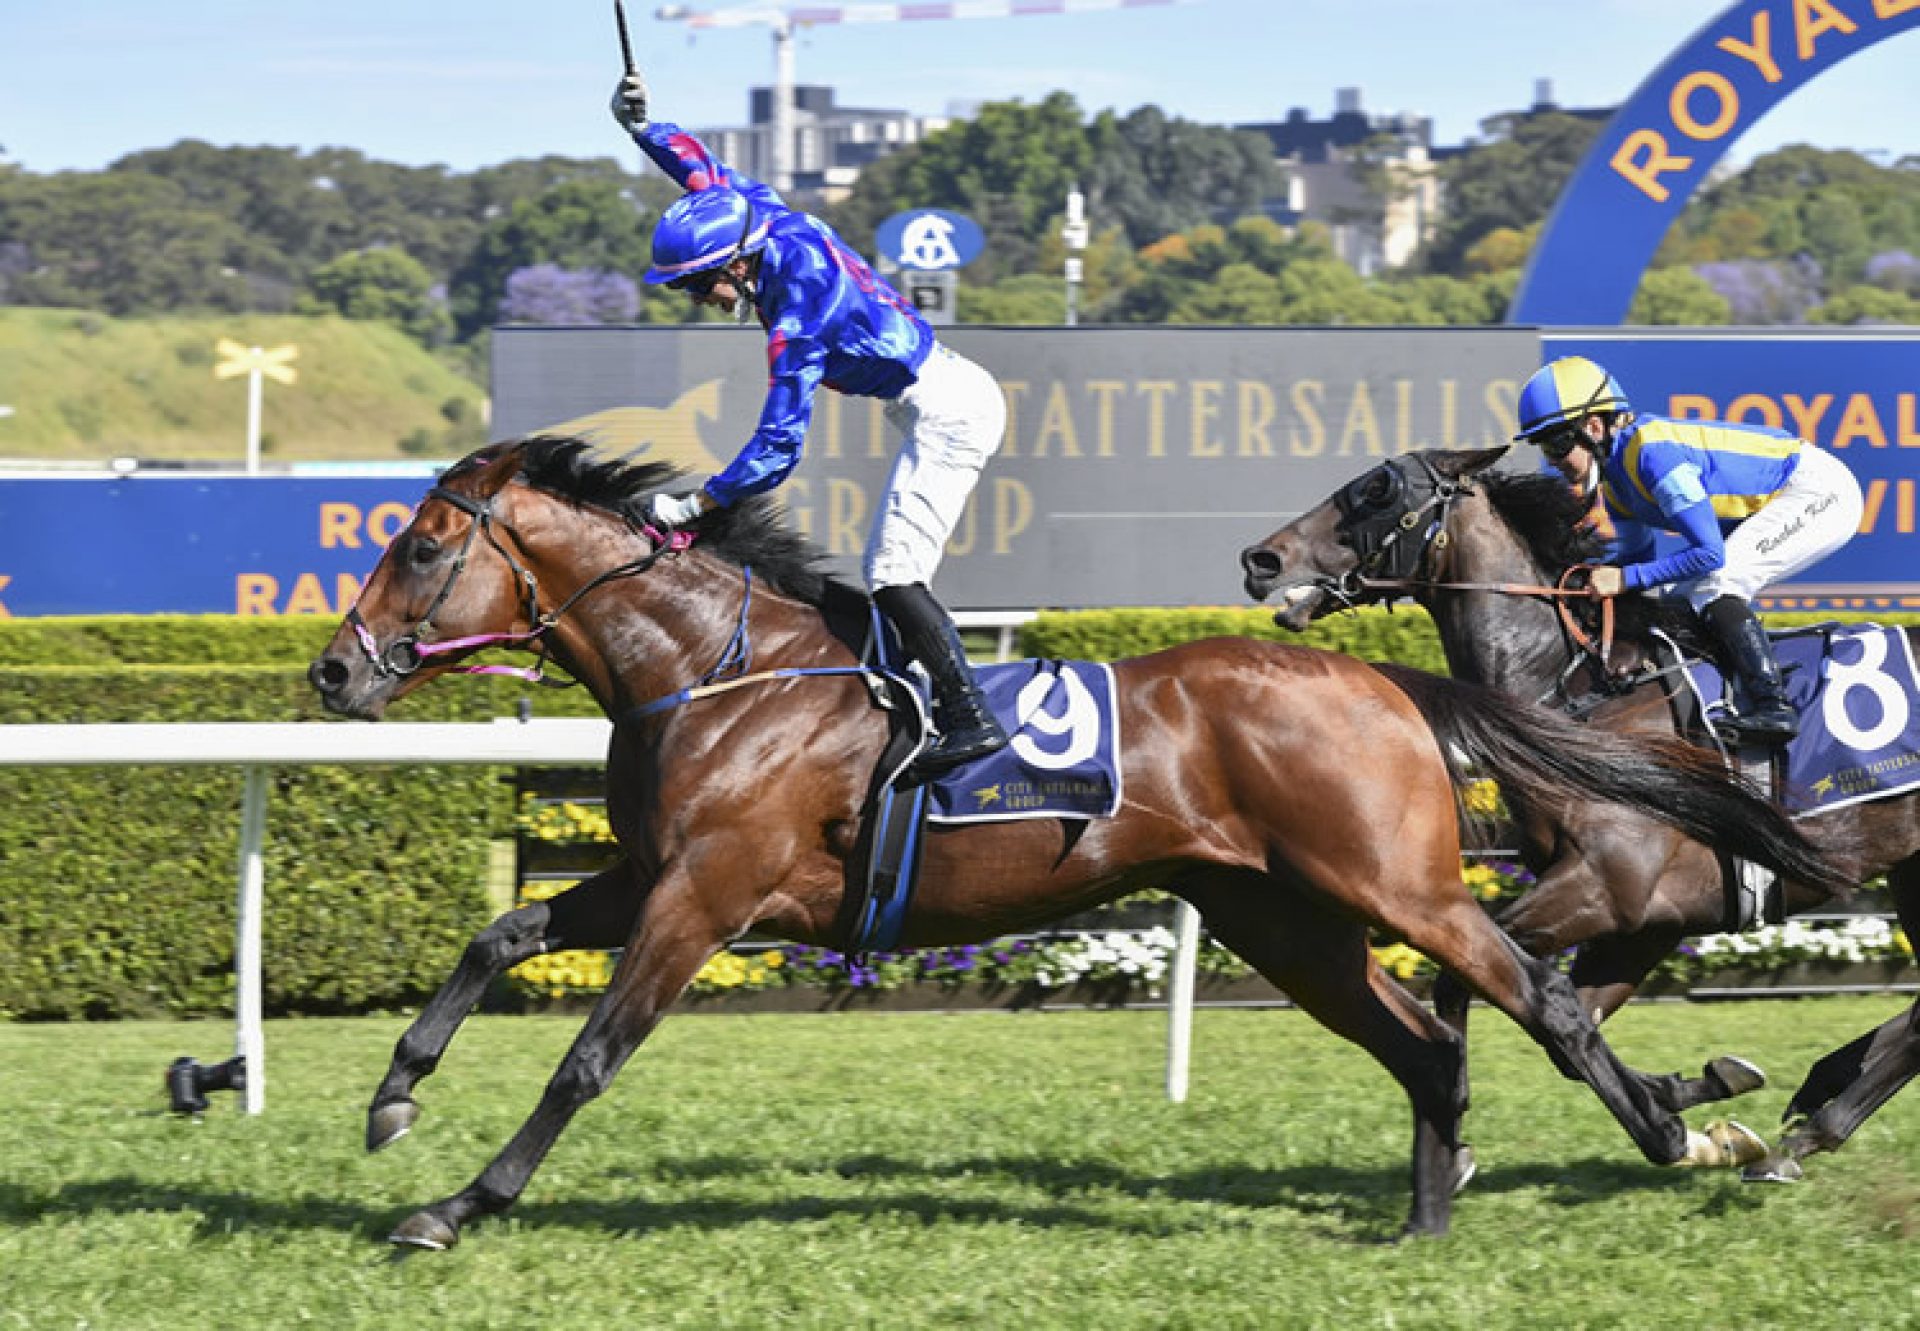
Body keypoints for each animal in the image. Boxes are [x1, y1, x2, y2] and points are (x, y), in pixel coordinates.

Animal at [311, 437, 1843, 1244]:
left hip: (1395, 884)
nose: (334, 671)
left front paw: (458, 1199)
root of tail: (1389, 679)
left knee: (1535, 998)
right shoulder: (649, 870)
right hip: (1280, 916)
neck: (718, 671)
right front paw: (392, 1093)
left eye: (425, 546)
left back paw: (1682, 1126)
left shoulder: (708, 891)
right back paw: (1427, 1214)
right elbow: (499, 930)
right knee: (1427, 1036)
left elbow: (588, 1054)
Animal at [1236, 443, 1912, 1175]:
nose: (1260, 559)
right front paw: (1700, 1099)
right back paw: (1822, 1096)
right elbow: (1568, 1022)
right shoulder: (1651, 919)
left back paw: (1816, 1121)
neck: (1579, 698)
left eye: (1378, 490)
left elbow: (1480, 986)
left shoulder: (1606, 888)